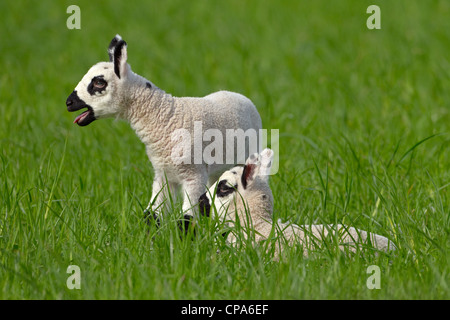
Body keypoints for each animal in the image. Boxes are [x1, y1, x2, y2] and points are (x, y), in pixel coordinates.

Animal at [67, 35, 264, 225]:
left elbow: (187, 218)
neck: (165, 118)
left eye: (99, 82)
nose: (69, 102)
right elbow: (152, 214)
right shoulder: (163, 173)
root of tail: (239, 95)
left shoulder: (194, 174)